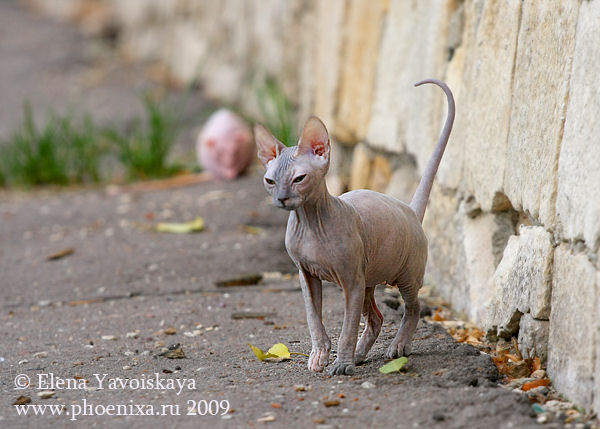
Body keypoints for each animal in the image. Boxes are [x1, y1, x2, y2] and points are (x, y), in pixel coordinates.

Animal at [253, 78, 454, 372]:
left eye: (299, 178)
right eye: (270, 181)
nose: (281, 198)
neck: (310, 222)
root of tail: (410, 210)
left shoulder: (351, 280)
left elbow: (347, 327)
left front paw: (342, 363)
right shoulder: (306, 275)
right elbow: (314, 320)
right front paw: (320, 356)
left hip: (404, 275)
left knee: (413, 308)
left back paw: (397, 347)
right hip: (368, 277)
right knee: (377, 318)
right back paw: (360, 354)